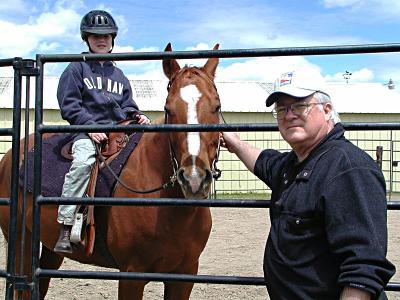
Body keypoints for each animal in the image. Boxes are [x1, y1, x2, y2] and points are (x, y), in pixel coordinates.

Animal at [0, 43, 220, 298]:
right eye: (169, 109)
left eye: (217, 106)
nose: (194, 178)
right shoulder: (132, 274)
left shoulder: (184, 276)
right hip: (20, 244)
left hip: (49, 248)